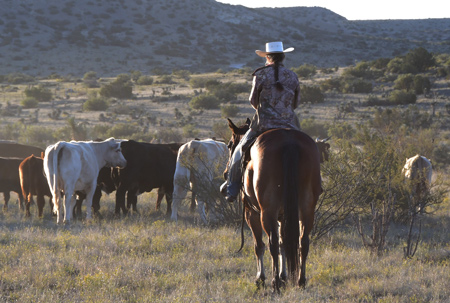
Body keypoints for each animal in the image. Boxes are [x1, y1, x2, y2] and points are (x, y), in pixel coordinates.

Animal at [227, 120, 322, 294]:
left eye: (230, 145)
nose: (225, 172)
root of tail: (289, 142)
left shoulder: (251, 213)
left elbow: (259, 246)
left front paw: (261, 279)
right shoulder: (283, 215)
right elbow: (284, 244)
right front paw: (284, 276)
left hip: (267, 212)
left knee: (272, 243)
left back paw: (274, 283)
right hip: (307, 209)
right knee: (303, 242)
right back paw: (300, 281)